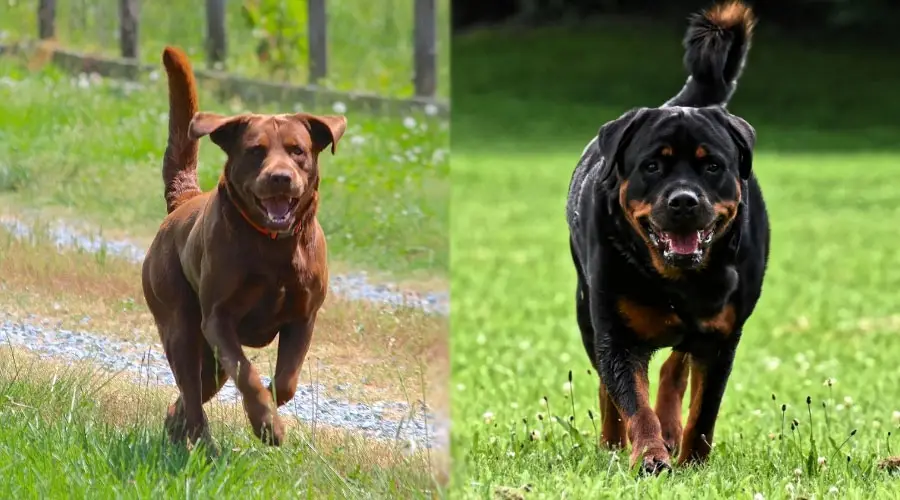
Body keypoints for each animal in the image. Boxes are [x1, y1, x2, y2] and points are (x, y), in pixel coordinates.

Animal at [142, 47, 346, 446]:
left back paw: (177, 425)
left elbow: (286, 381)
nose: (280, 177)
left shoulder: (303, 317)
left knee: (197, 388)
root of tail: (183, 201)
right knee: (192, 389)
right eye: (255, 151)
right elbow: (247, 374)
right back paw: (201, 440)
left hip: (207, 352)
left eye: (298, 151)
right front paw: (266, 423)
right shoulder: (218, 319)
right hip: (179, 320)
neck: (273, 245)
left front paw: (270, 411)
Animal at [568, 1, 768, 474]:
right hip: (586, 310)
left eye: (712, 166)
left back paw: (671, 429)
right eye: (652, 166)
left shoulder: (722, 337)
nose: (683, 201)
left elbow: (704, 410)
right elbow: (632, 402)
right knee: (609, 387)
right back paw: (613, 443)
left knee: (675, 368)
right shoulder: (615, 334)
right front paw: (649, 457)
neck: (678, 280)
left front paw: (692, 459)